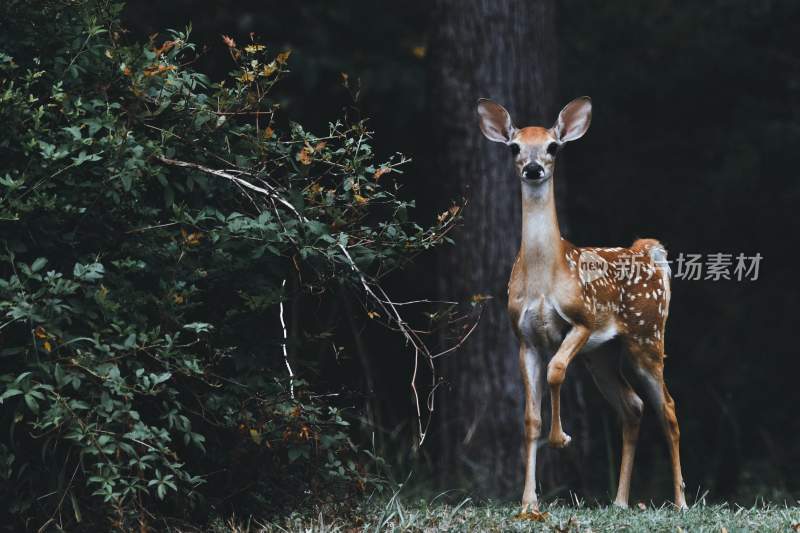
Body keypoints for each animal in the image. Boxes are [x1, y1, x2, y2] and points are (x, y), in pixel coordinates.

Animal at [476, 95, 688, 512]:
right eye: (514, 148)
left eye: (553, 147)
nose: (534, 168)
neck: (545, 277)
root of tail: (648, 251)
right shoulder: (524, 338)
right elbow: (530, 418)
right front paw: (528, 502)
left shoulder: (582, 320)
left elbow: (556, 371)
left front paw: (561, 438)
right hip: (603, 354)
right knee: (632, 406)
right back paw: (619, 502)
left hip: (647, 335)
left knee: (668, 408)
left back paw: (681, 502)